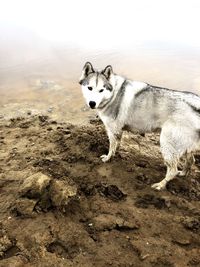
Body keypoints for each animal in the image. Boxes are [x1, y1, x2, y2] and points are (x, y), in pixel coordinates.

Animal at [79, 61, 200, 192]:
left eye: (101, 90)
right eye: (90, 88)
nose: (92, 103)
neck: (113, 94)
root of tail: (195, 104)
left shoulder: (112, 130)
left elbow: (111, 147)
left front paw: (108, 158)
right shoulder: (118, 130)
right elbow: (117, 144)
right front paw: (116, 153)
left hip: (167, 144)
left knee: (172, 170)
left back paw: (161, 185)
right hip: (186, 145)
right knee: (191, 161)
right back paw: (182, 173)